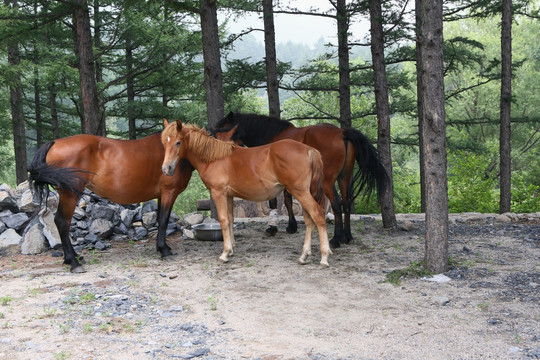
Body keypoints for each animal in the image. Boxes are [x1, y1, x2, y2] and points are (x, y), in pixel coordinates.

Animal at [27, 134, 193, 272]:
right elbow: (164, 220)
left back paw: (76, 257)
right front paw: (164, 250)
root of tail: (55, 142)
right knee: (62, 222)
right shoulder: (168, 192)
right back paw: (73, 262)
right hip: (70, 193)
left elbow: (160, 220)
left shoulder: (161, 195)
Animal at [160, 119, 332, 266]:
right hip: (304, 193)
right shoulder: (229, 195)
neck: (214, 158)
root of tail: (309, 150)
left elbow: (223, 220)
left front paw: (225, 254)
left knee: (318, 215)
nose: (166, 169)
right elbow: (230, 219)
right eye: (164, 143)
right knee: (309, 220)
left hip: (300, 192)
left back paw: (324, 257)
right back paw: (304, 256)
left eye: (178, 142)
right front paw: (231, 249)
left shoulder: (218, 193)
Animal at [211, 112, 388, 248]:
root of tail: (342, 133)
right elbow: (288, 201)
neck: (272, 135)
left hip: (328, 181)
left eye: (221, 128)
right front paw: (291, 226)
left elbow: (278, 202)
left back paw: (336, 239)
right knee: (347, 202)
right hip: (345, 178)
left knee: (337, 204)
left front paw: (275, 227)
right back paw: (347, 236)